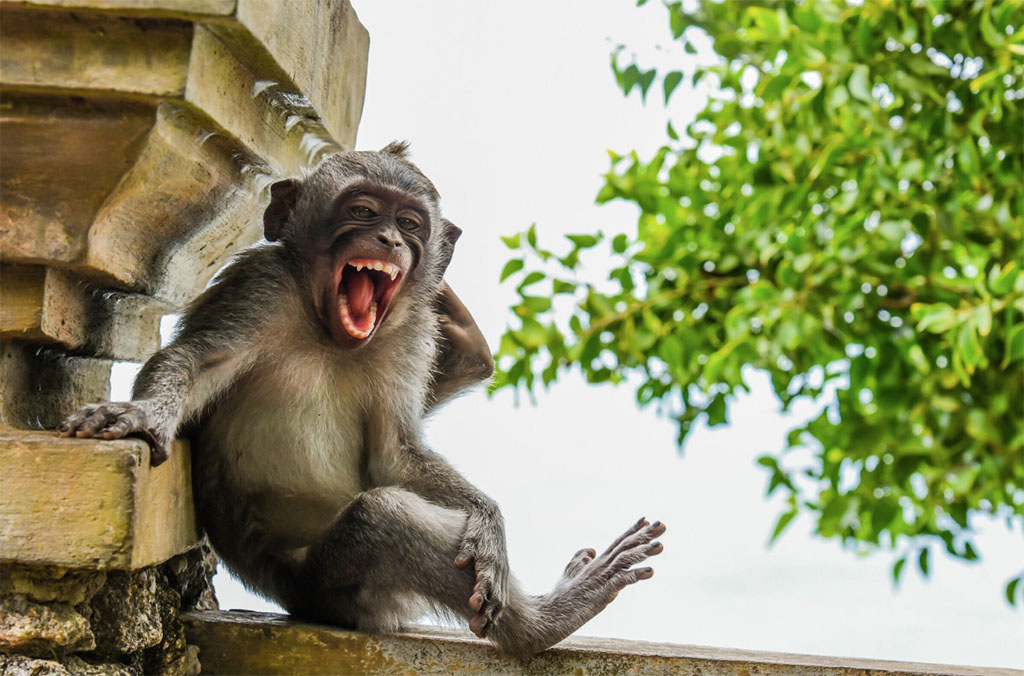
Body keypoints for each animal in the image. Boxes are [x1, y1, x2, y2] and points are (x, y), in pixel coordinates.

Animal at [58, 141, 663, 655]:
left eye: (410, 223)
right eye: (365, 211)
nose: (390, 241)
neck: (326, 329)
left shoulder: (412, 332)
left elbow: (394, 451)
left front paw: (488, 520)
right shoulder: (261, 285)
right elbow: (195, 363)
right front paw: (141, 414)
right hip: (326, 588)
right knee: (379, 518)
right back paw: (545, 623)